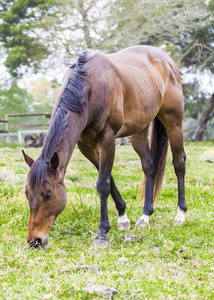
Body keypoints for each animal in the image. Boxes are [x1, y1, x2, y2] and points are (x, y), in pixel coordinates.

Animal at [22, 45, 186, 247]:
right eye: (27, 193)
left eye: (48, 194)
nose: (35, 240)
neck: (88, 87)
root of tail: (167, 60)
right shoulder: (85, 145)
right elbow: (109, 178)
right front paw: (123, 218)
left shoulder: (107, 138)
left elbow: (102, 184)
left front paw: (102, 234)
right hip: (139, 131)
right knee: (149, 165)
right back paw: (145, 216)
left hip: (173, 120)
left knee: (179, 163)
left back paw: (180, 215)